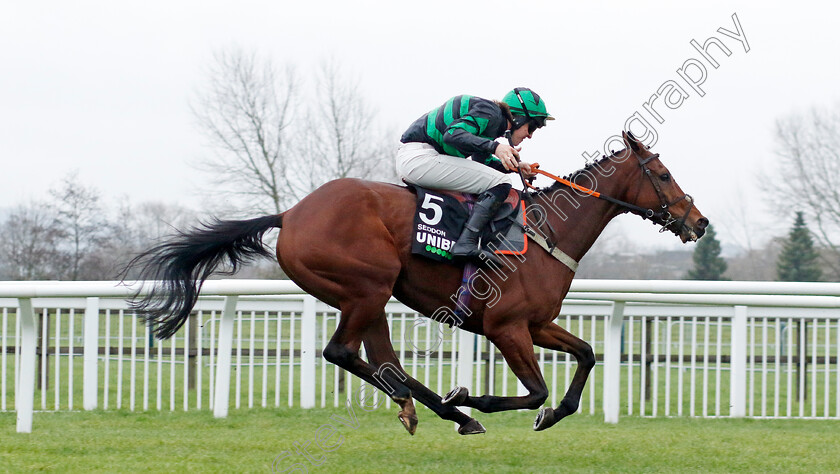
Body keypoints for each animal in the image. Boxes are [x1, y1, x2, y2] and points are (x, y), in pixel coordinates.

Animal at [128, 131, 708, 436]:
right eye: (662, 174)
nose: (698, 222)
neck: (547, 231)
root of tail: (290, 214)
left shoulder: (537, 324)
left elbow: (587, 354)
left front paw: (551, 416)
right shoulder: (505, 327)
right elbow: (535, 389)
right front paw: (478, 397)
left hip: (367, 296)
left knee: (381, 360)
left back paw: (431, 408)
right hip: (368, 286)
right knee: (343, 353)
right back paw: (453, 409)